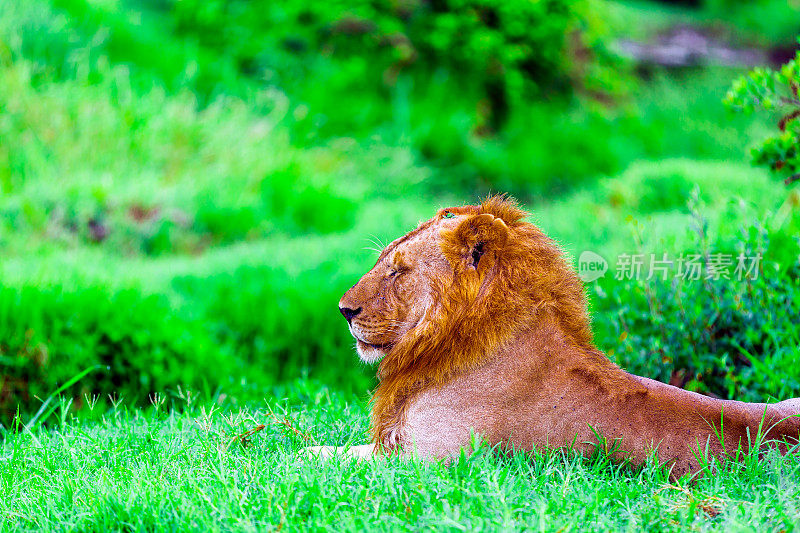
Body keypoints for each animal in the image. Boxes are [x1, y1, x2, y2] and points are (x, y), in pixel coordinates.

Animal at [308, 195, 800, 478]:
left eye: (400, 271)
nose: (343, 310)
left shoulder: (430, 460)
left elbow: (322, 455)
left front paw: (292, 458)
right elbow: (330, 447)